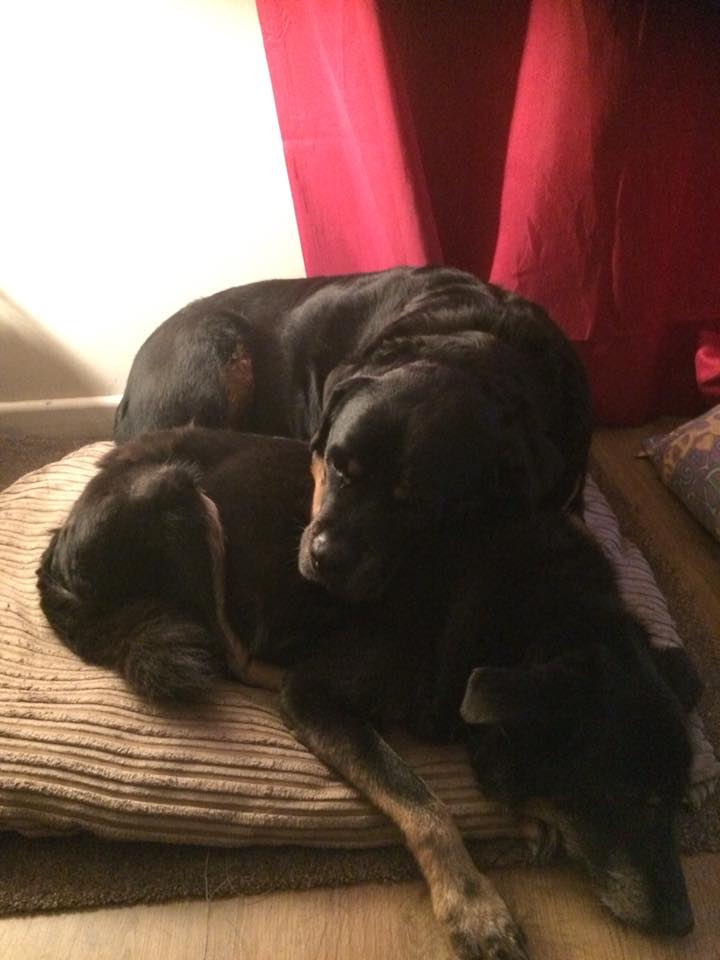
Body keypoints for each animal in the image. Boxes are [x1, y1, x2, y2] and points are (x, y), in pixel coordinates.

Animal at [38, 424, 700, 953]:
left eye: (679, 802)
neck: (529, 619)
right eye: (633, 799)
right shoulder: (315, 695)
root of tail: (57, 548)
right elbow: (424, 804)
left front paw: (532, 817)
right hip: (176, 494)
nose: (685, 925)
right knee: (231, 648)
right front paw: (474, 905)